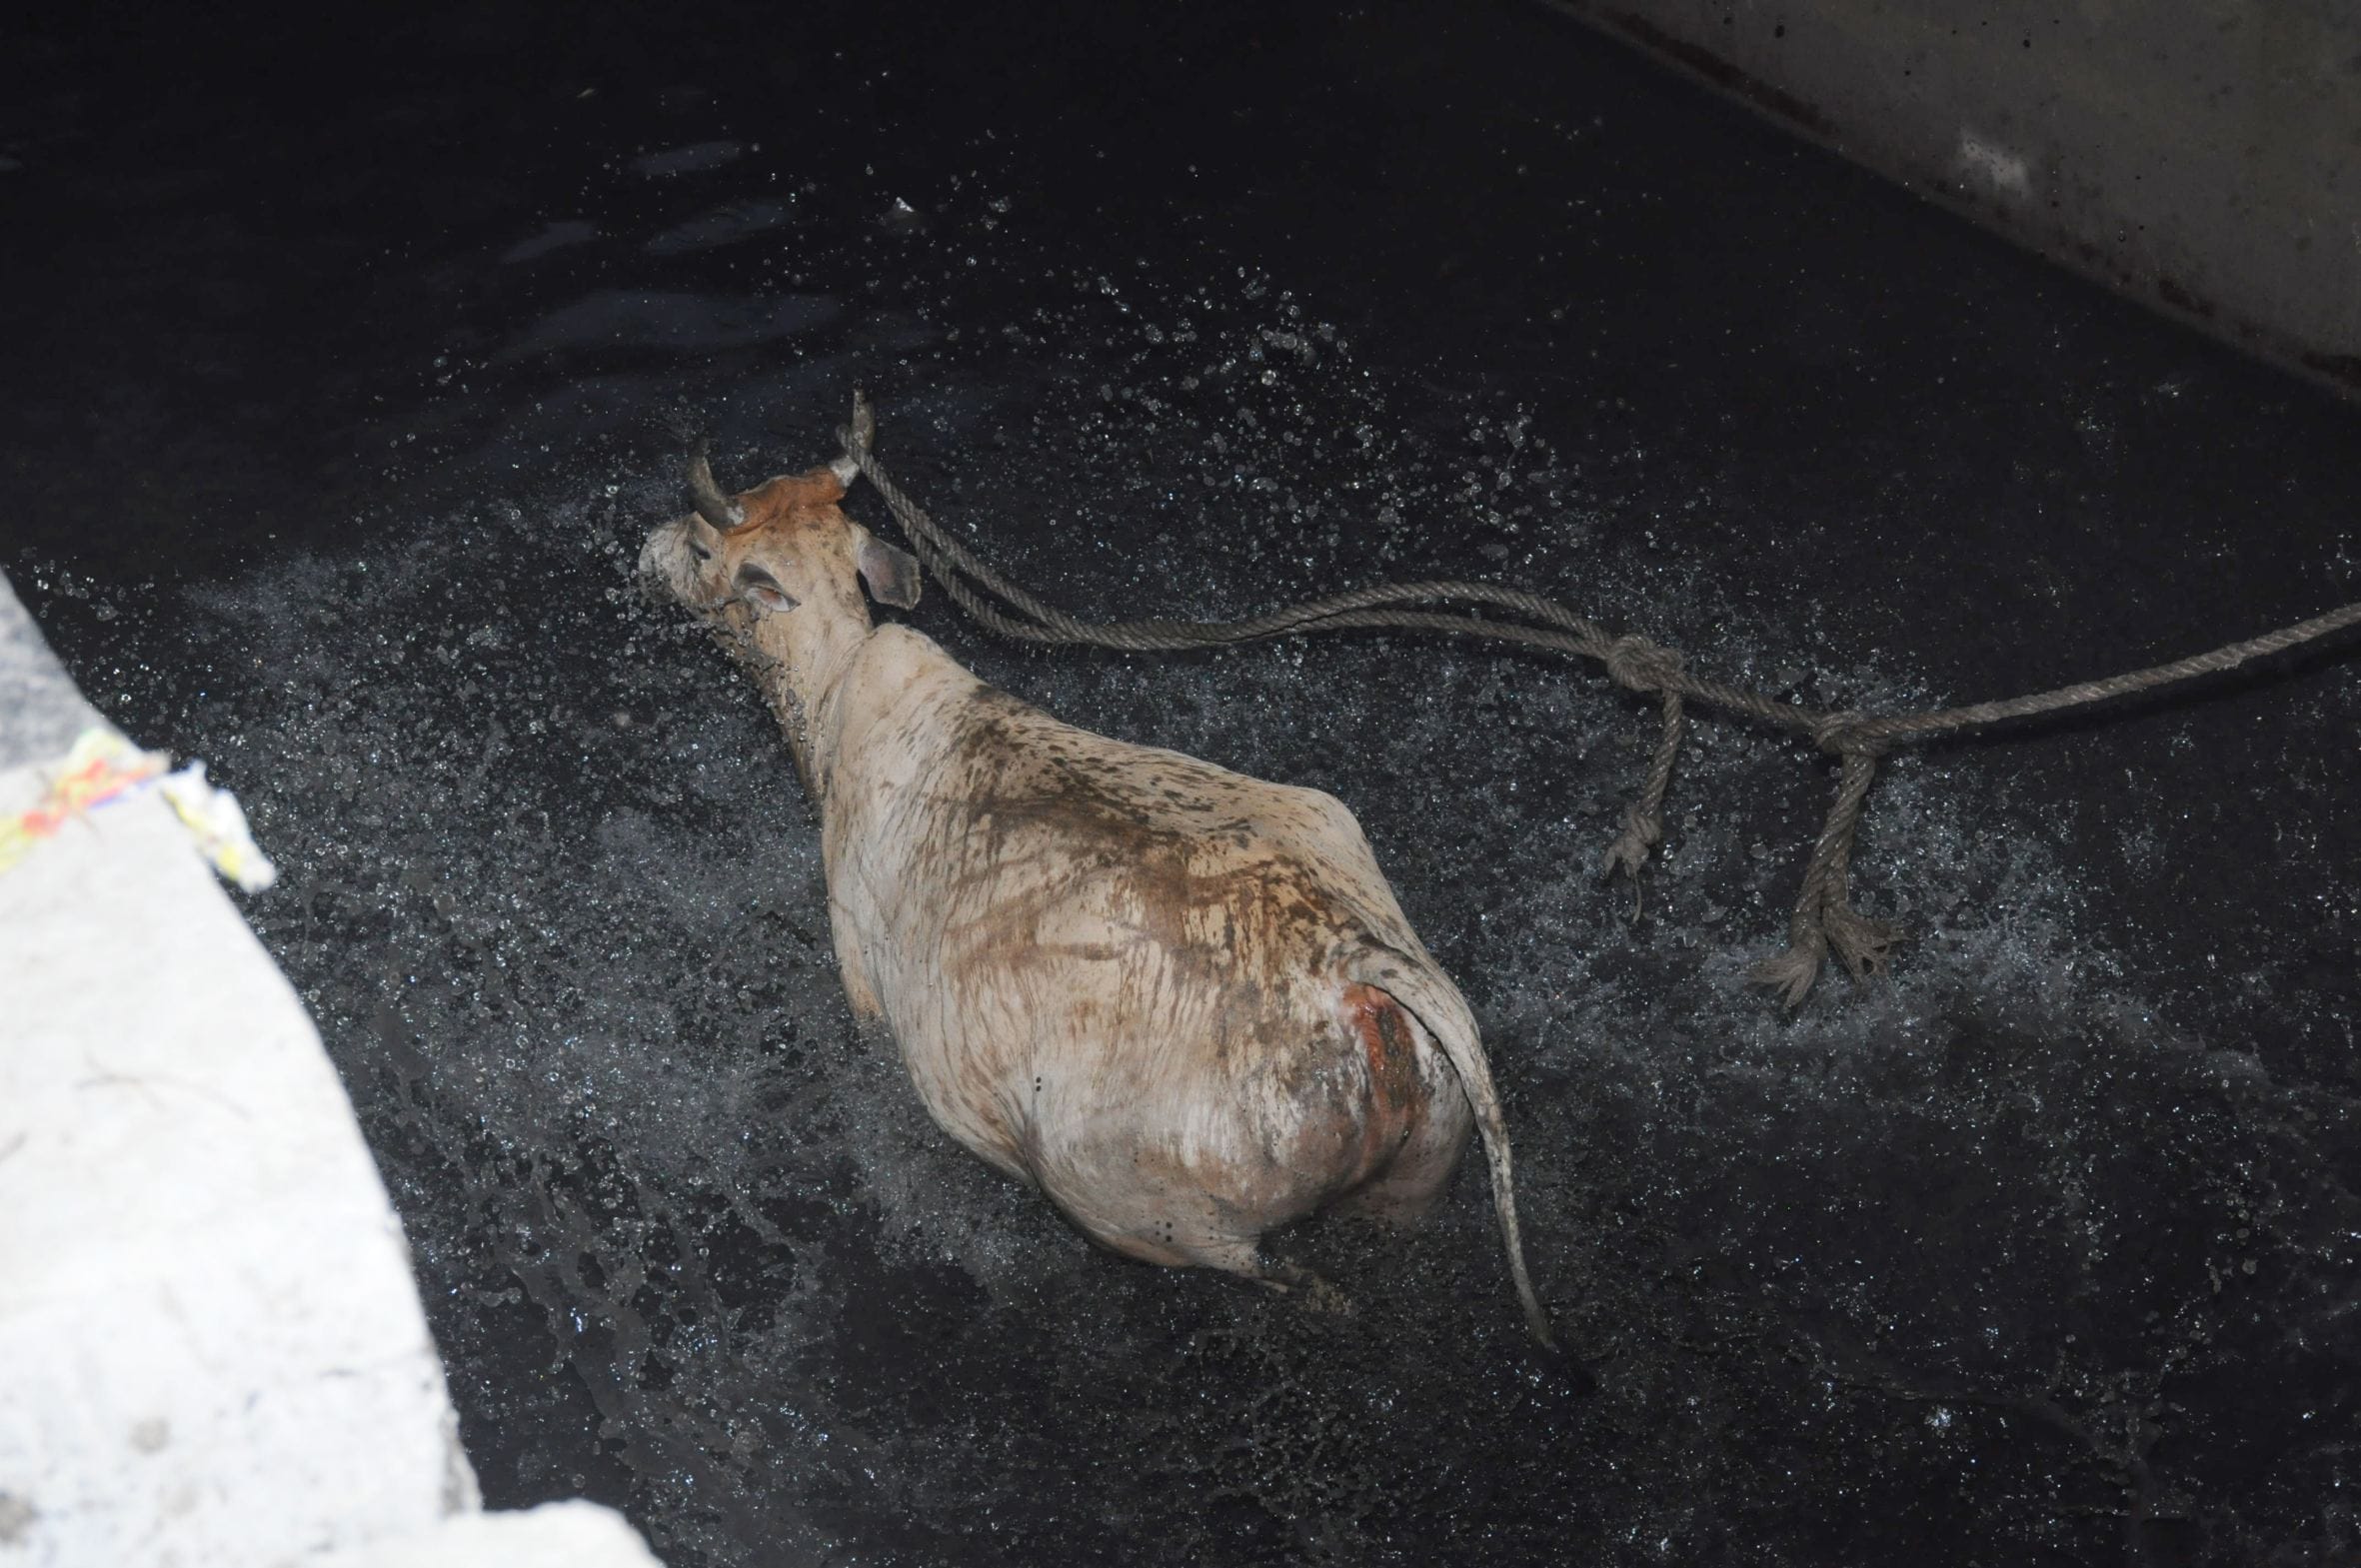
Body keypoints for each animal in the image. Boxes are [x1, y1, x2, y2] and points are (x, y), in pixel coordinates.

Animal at [638, 425, 1554, 1347]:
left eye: (703, 545)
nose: (646, 546)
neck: (831, 703)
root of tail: (1355, 962)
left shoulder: (865, 986)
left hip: (1147, 1209)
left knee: (1292, 1281)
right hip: (1413, 1180)